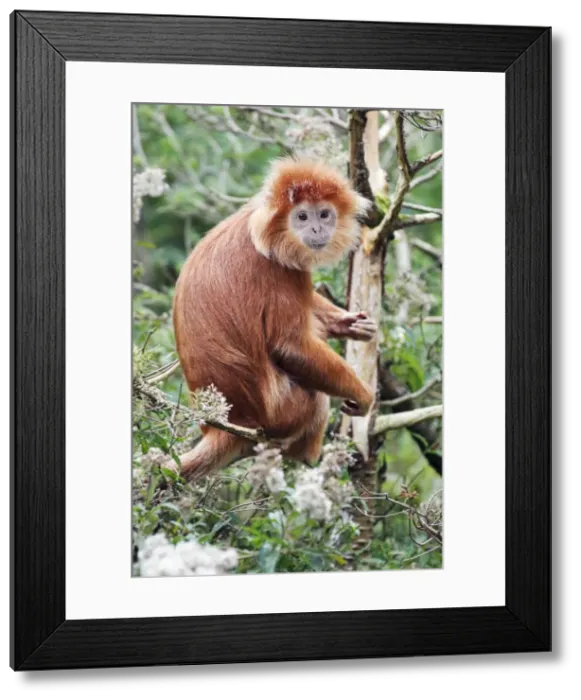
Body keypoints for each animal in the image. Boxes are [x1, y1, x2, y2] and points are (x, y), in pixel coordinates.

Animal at [170, 157, 377, 481]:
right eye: (302, 216)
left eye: (324, 214)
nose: (317, 228)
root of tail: (224, 424)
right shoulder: (278, 266)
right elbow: (290, 347)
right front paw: (365, 395)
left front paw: (349, 324)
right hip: (281, 412)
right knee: (316, 396)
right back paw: (308, 456)